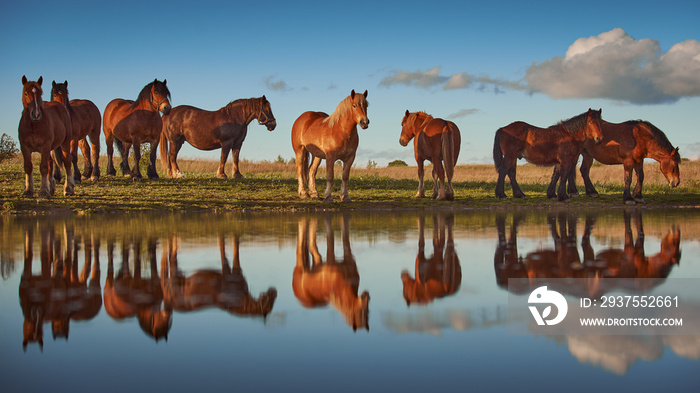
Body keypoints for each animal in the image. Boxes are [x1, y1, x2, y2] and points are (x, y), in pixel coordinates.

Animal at [548, 119, 680, 205]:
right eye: (674, 164)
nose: (676, 182)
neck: (639, 137)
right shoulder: (628, 162)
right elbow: (628, 178)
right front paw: (628, 198)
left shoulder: (639, 161)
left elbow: (641, 177)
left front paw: (638, 196)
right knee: (570, 170)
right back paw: (573, 192)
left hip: (587, 154)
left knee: (583, 170)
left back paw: (591, 192)